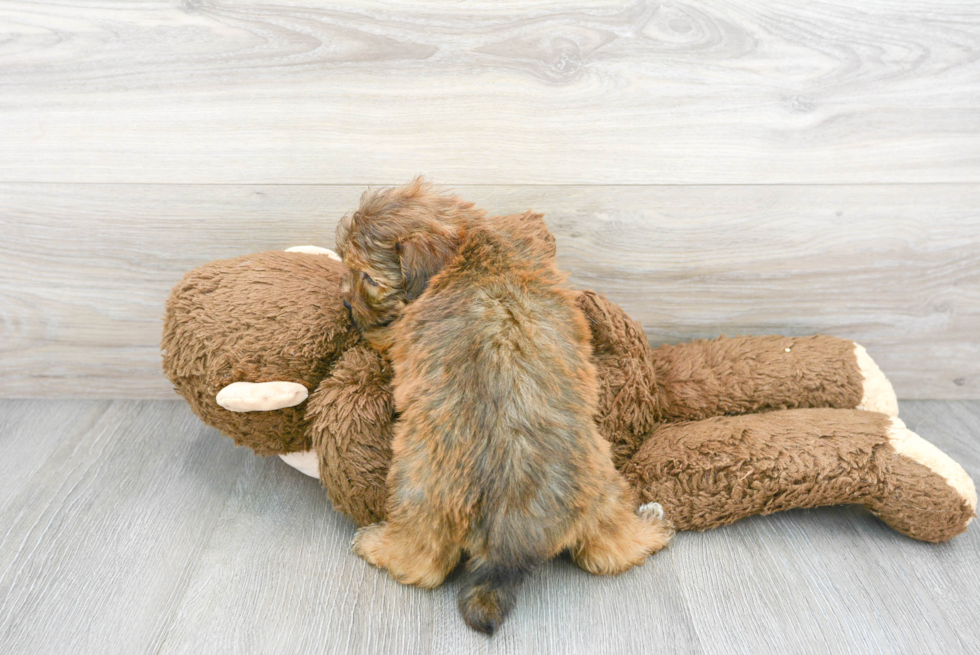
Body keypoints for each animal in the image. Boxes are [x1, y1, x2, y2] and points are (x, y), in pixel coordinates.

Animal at [336, 179, 672, 636]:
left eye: (367, 276)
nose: (345, 303)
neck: (473, 247)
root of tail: (509, 535)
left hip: (416, 490)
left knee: (423, 565)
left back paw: (376, 544)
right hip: (602, 489)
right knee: (611, 552)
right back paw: (649, 530)